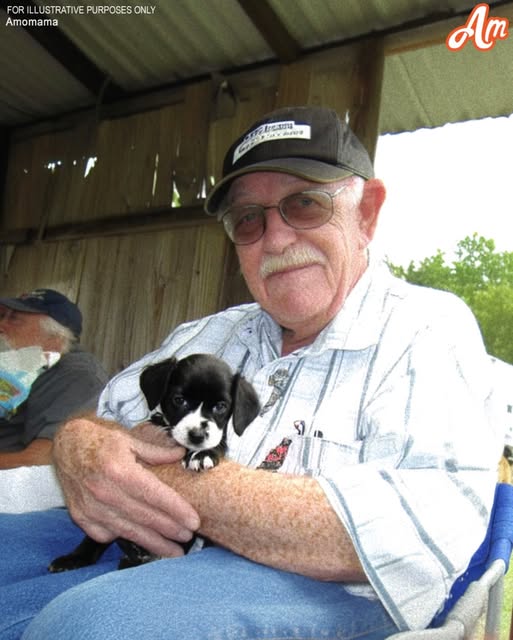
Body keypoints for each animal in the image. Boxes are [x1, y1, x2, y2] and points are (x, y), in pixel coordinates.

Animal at [50, 352, 260, 572]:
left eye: (221, 406)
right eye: (179, 400)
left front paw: (202, 455)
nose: (197, 435)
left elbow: (218, 444)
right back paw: (77, 558)